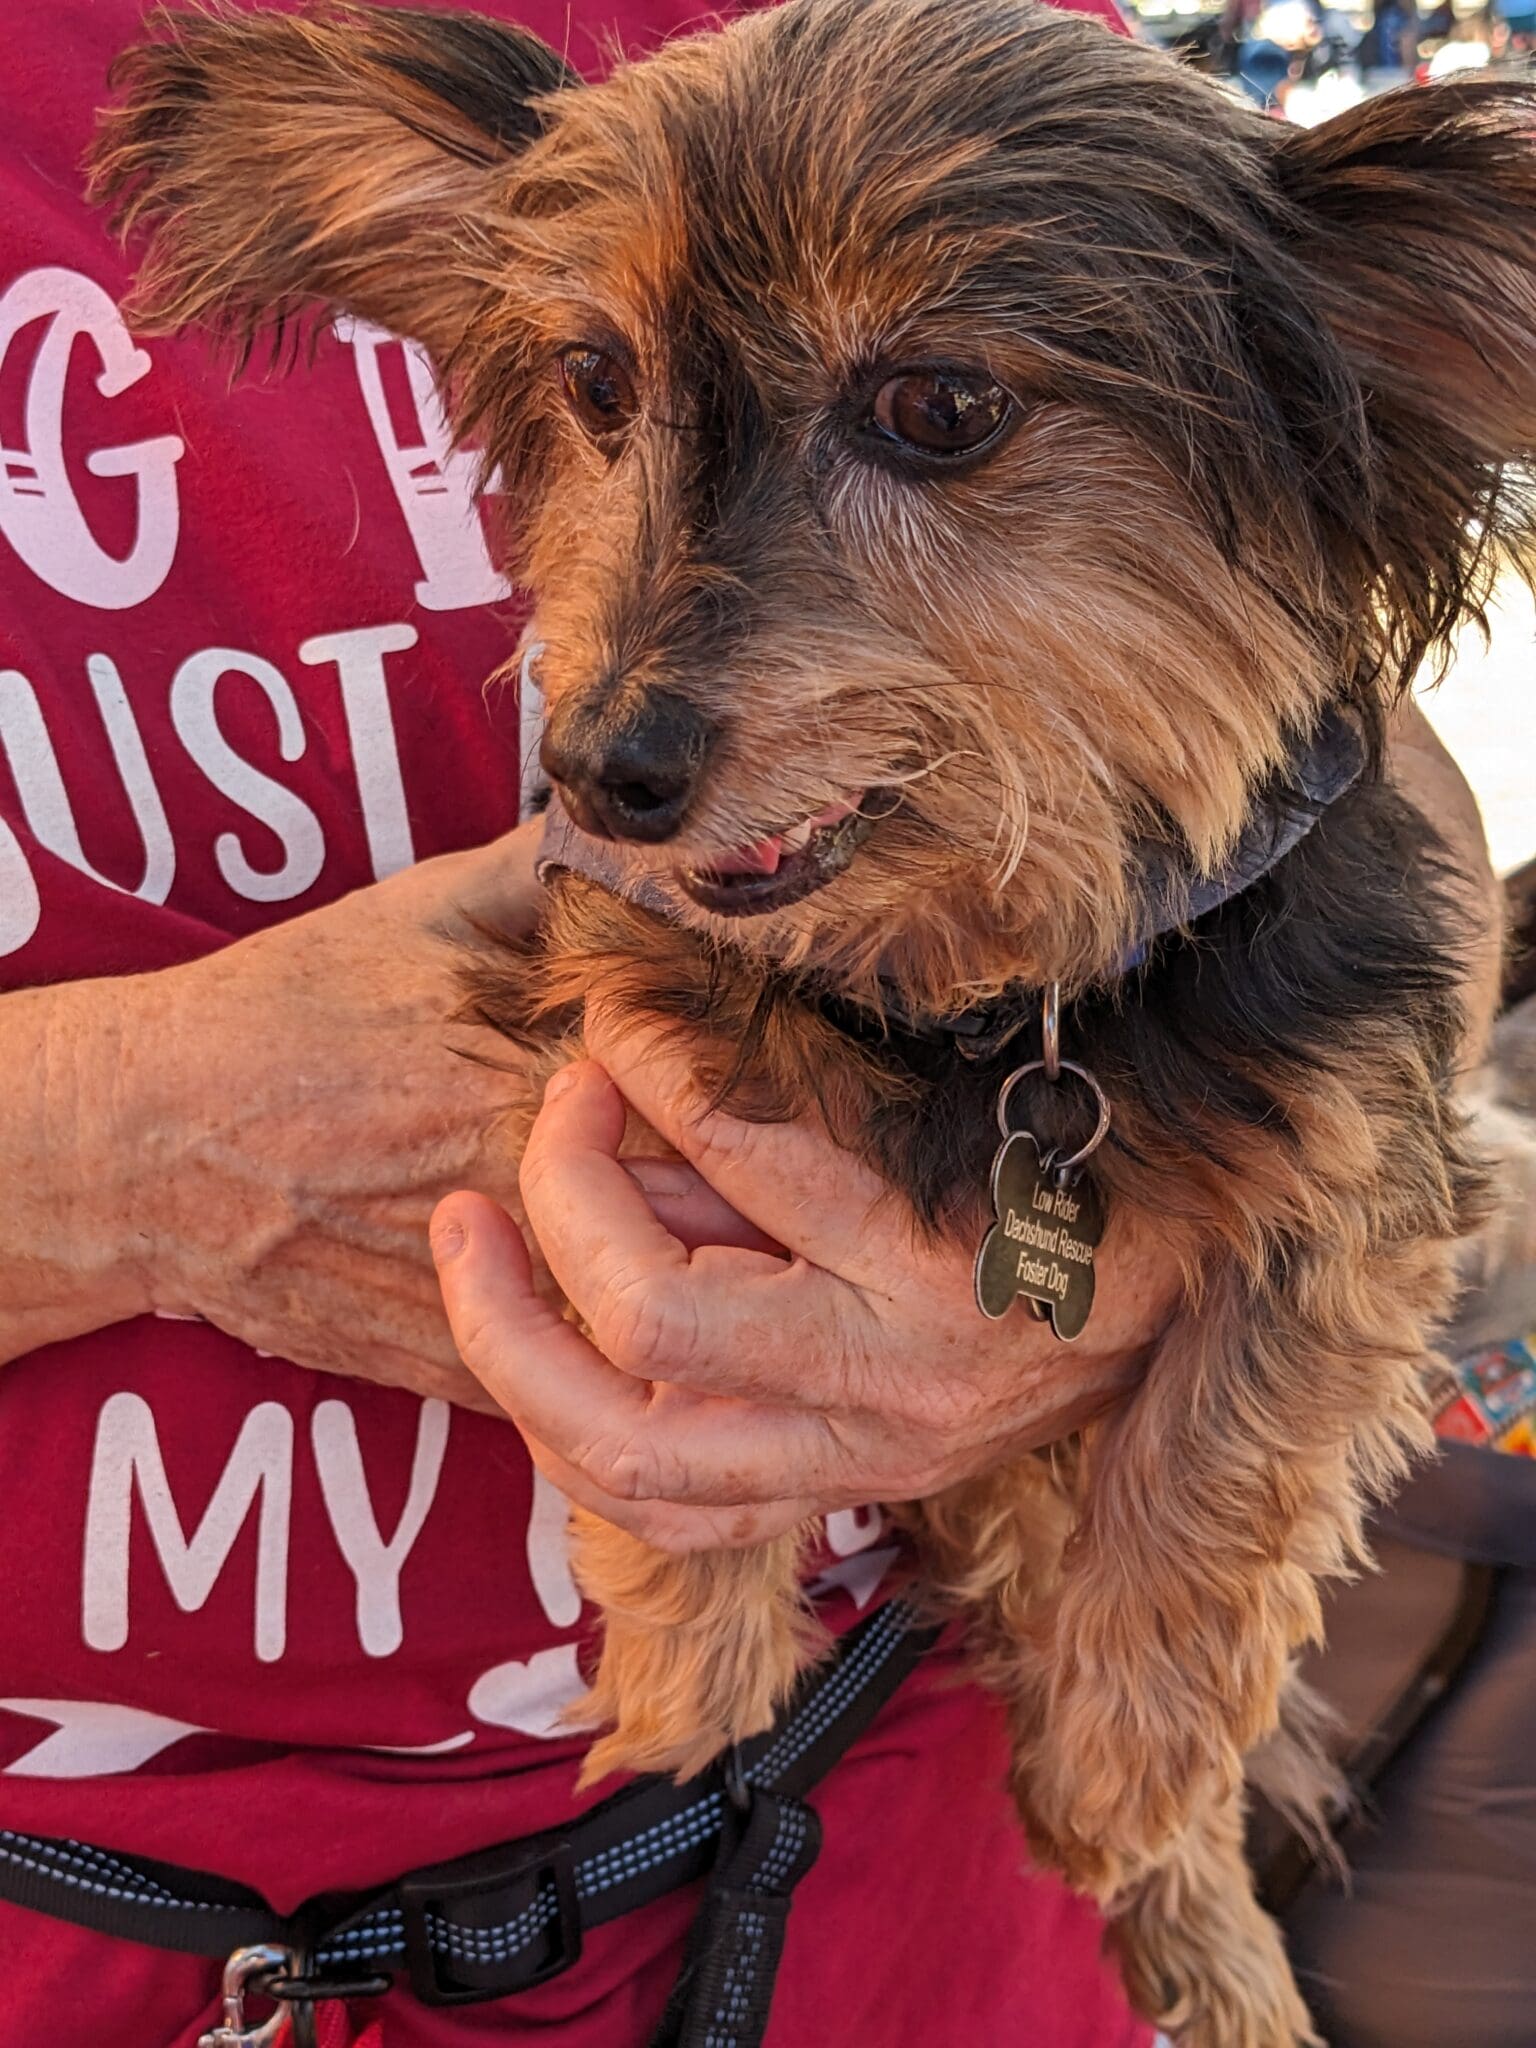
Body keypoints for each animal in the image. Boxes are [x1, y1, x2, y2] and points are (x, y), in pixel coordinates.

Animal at [96, 8, 1536, 2039]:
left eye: (937, 406)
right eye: (594, 379)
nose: (597, 771)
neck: (984, 1004)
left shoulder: (1366, 1170)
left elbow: (1222, 1456)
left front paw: (1125, 1777)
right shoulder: (623, 1081)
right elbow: (676, 1429)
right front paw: (695, 1670)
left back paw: (1205, 1936)